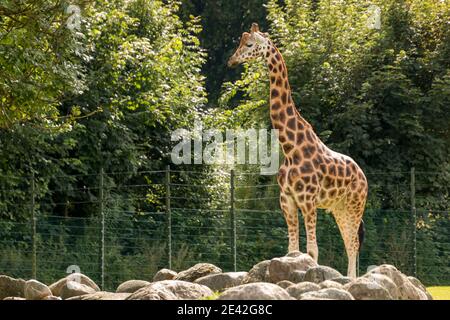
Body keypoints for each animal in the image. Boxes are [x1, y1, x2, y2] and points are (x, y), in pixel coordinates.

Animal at [227, 23, 368, 278]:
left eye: (249, 44)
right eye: (240, 43)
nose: (231, 61)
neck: (290, 147)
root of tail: (364, 176)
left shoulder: (308, 201)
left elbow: (312, 250)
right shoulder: (287, 201)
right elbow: (292, 250)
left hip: (355, 205)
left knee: (353, 244)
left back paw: (352, 280)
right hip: (339, 208)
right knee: (349, 243)